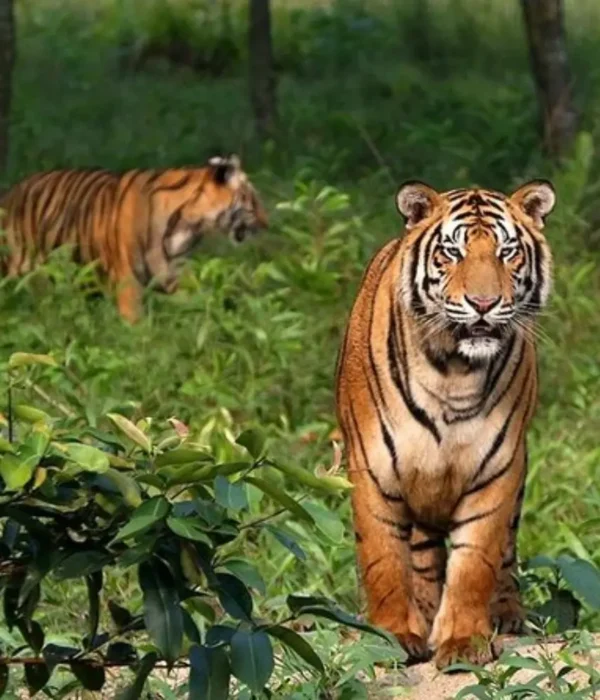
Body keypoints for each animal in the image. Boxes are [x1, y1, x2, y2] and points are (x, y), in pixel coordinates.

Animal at [0, 155, 268, 322]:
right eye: (252, 201)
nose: (267, 223)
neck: (189, 226)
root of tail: (10, 193)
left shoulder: (175, 276)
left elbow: (200, 307)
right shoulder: (128, 283)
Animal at [335, 180, 555, 668]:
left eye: (507, 251)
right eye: (452, 252)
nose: (484, 303)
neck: (453, 371)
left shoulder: (497, 469)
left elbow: (475, 562)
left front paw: (464, 641)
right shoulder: (373, 469)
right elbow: (382, 559)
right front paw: (393, 635)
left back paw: (506, 614)